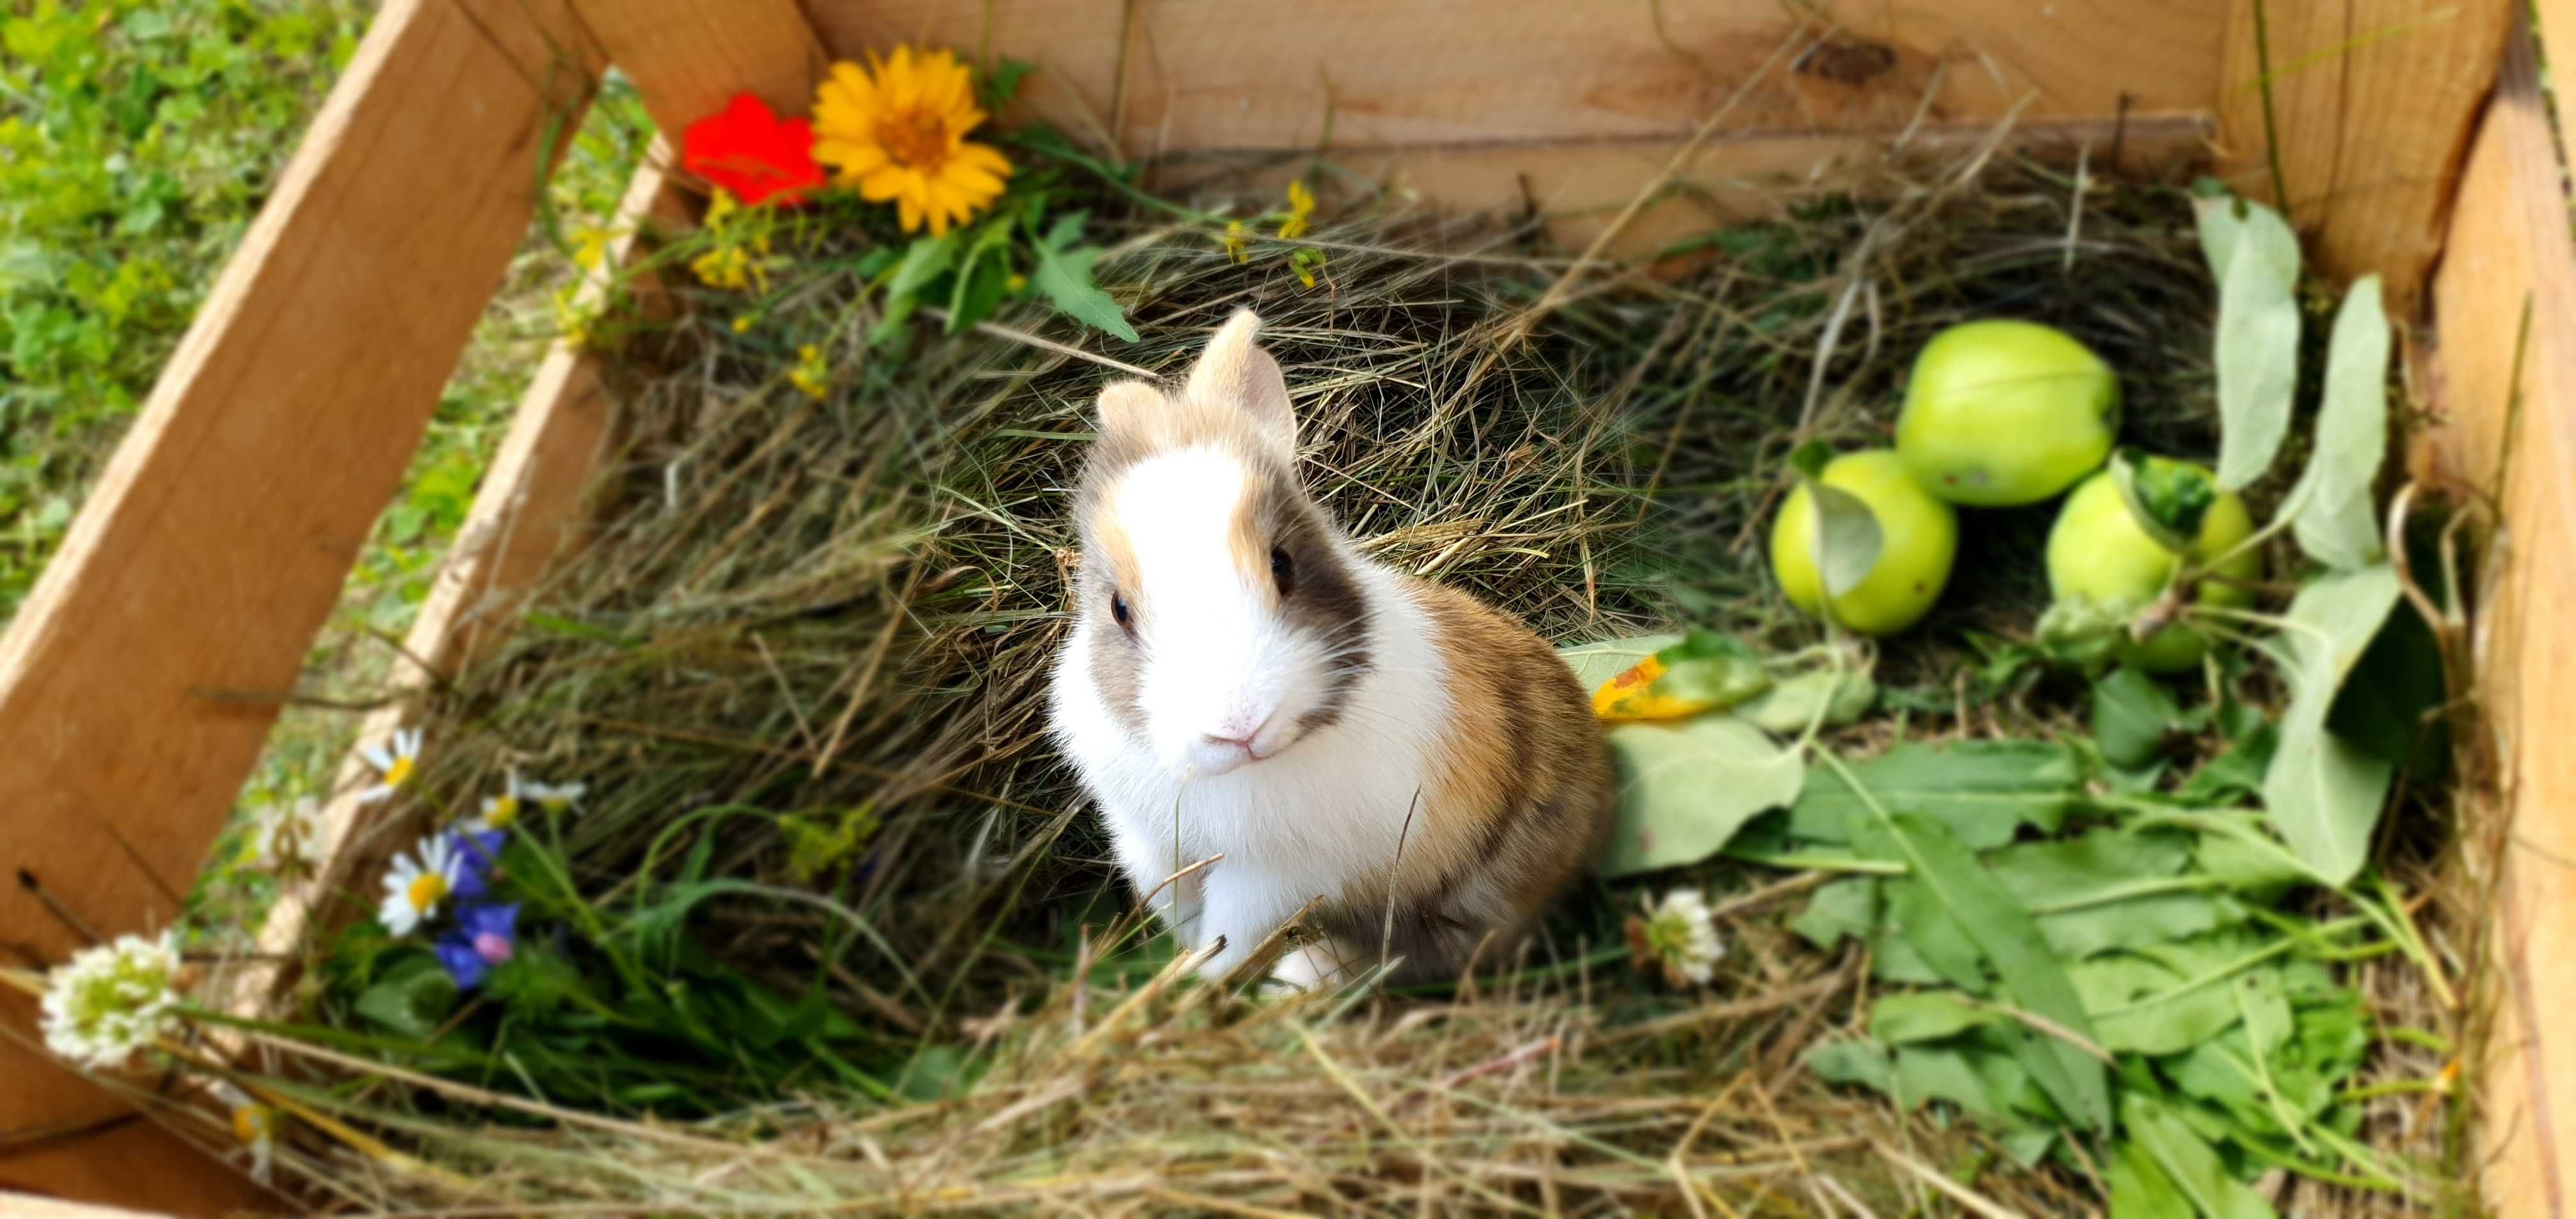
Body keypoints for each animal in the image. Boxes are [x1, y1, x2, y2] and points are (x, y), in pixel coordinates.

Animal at [1040, 307, 1607, 989]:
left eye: (1283, 564)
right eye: (1118, 608)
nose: (1240, 726)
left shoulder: (1273, 878)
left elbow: (1230, 935)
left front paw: (1197, 981)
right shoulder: (1146, 838)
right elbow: (1173, 900)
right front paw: (1181, 959)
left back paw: (1302, 977)